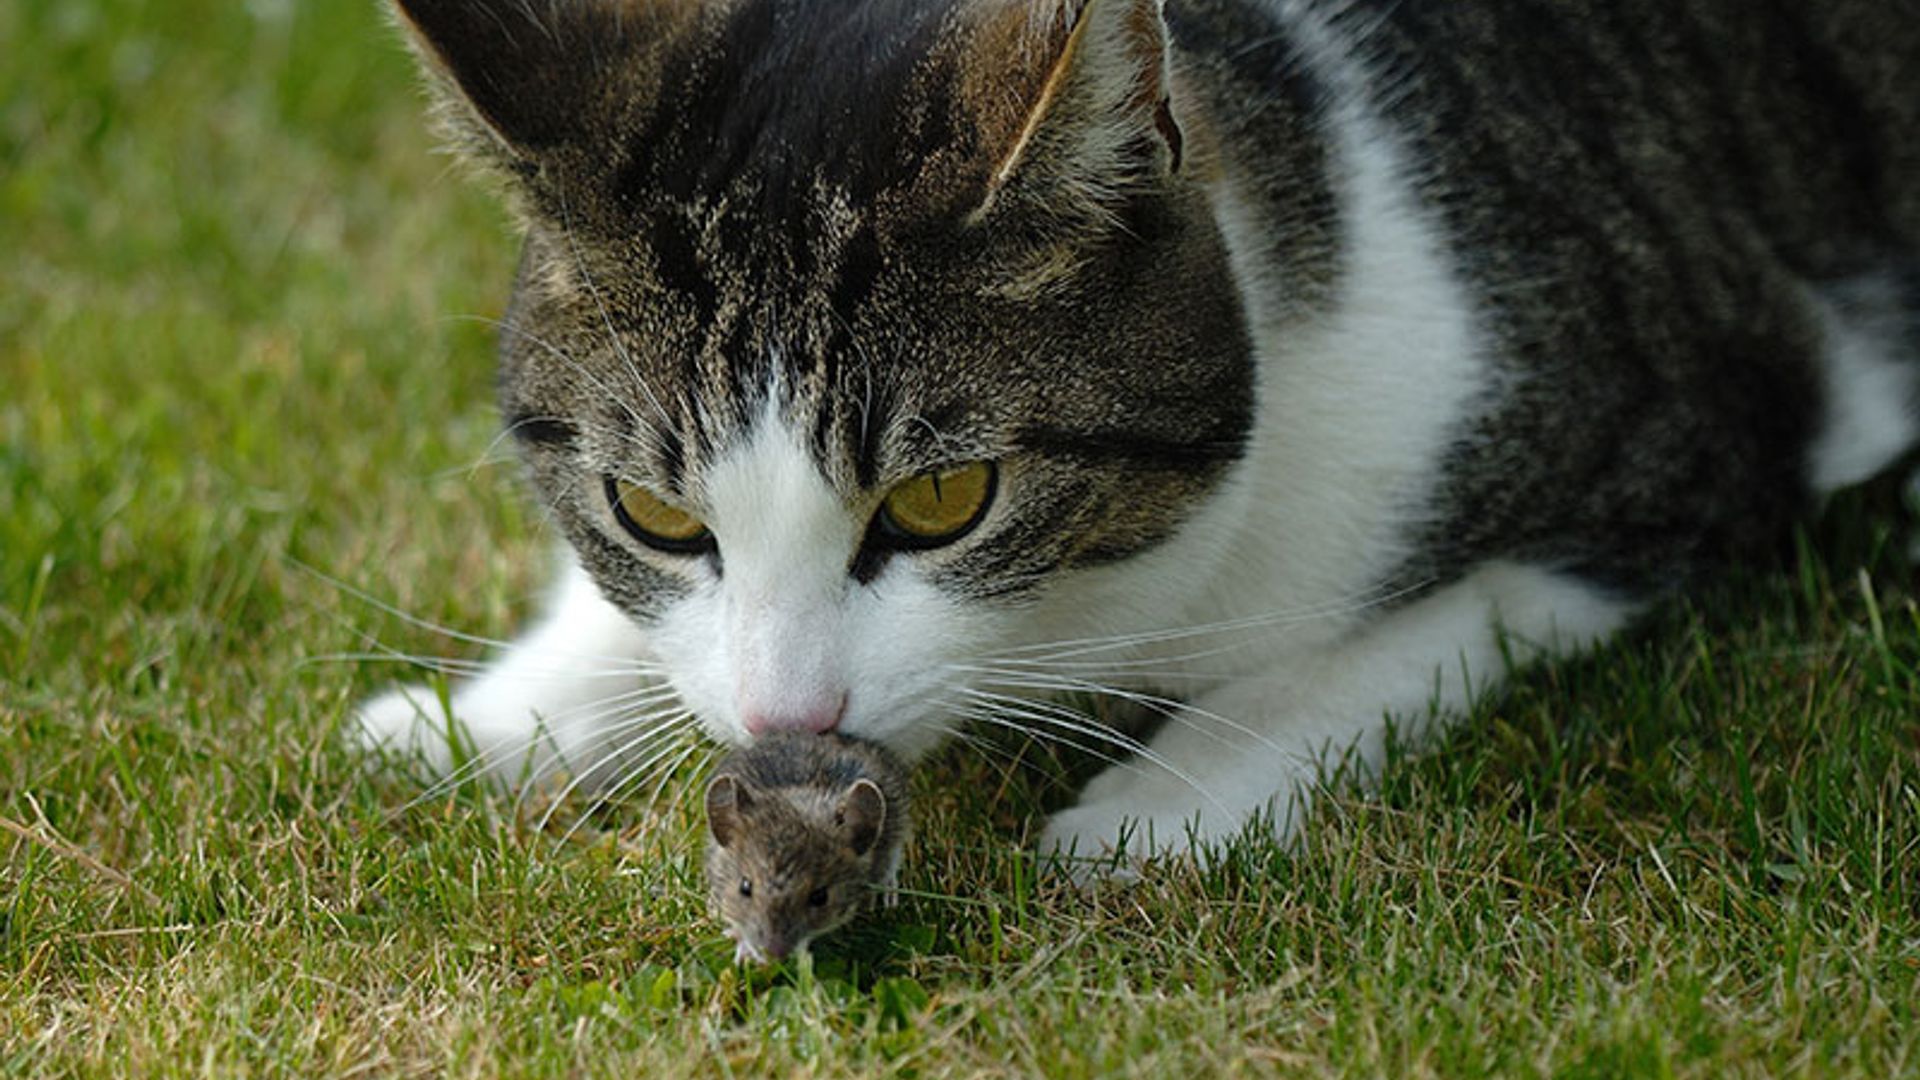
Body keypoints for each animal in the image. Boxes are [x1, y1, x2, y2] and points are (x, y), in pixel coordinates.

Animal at [353, 0, 1912, 860]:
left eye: (945, 501)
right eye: (659, 515)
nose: (791, 722)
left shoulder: (1696, 428)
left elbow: (1396, 634)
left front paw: (1157, 810)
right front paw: (485, 716)